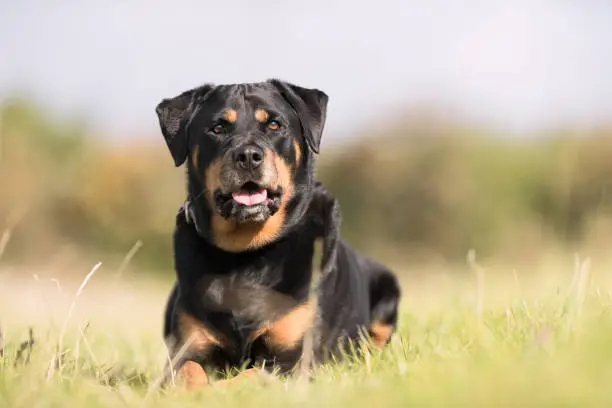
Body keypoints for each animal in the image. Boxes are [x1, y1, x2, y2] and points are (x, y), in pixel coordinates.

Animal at [155, 79, 400, 388]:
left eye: (274, 124)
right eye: (218, 128)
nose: (248, 156)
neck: (245, 254)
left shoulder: (294, 357)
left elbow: (246, 377)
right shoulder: (188, 347)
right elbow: (188, 370)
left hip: (388, 289)